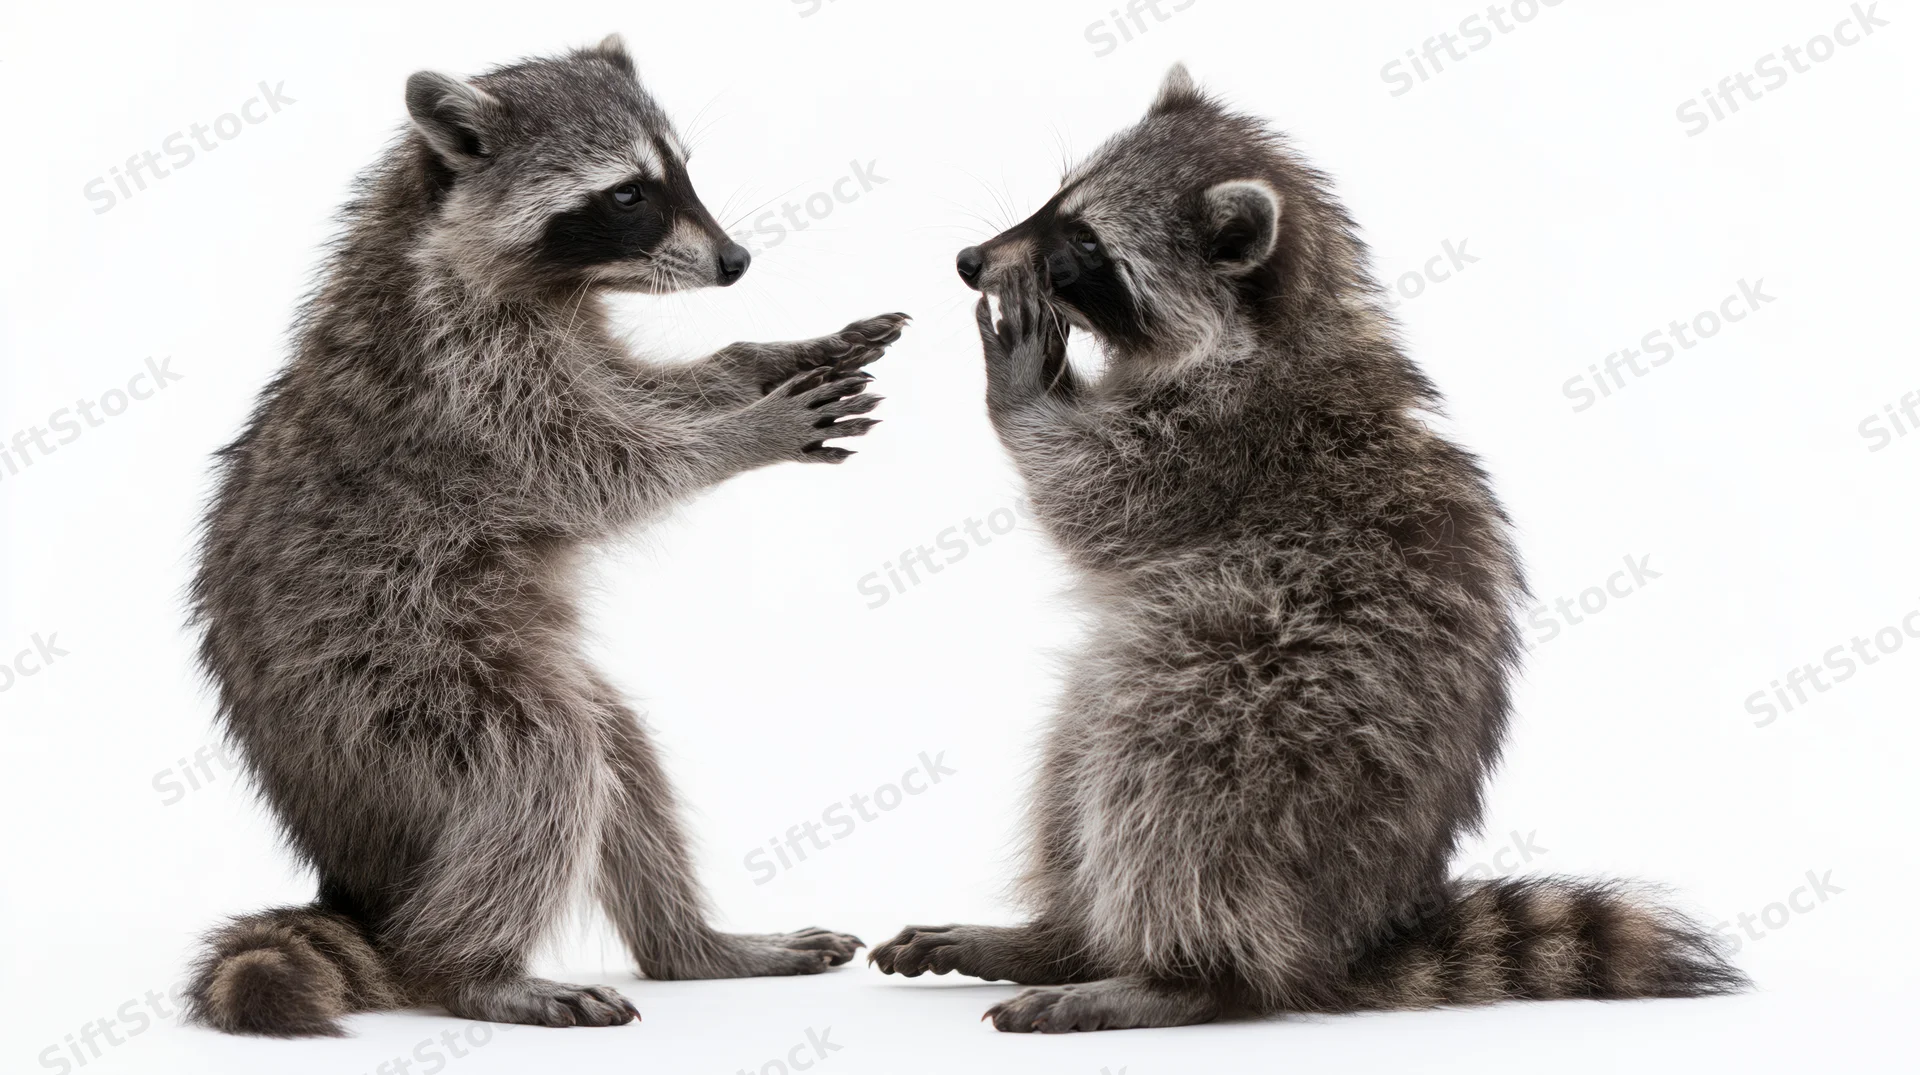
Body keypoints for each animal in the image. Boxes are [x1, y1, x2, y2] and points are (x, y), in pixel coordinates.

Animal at [186, 36, 906, 1036]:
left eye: (681, 170)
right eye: (628, 194)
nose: (736, 262)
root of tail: (349, 860)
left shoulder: (568, 332)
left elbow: (646, 391)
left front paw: (759, 362)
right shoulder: (460, 371)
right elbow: (601, 466)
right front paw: (741, 432)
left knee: (618, 754)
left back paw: (692, 946)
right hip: (385, 684)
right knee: (548, 761)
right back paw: (470, 966)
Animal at [871, 66, 1744, 1031]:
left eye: (1086, 243)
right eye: (1055, 201)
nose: (971, 261)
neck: (1280, 322)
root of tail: (1340, 936)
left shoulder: (1233, 440)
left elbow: (1096, 495)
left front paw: (1024, 392)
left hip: (1263, 718)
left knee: (1163, 784)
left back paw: (1175, 974)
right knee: (1071, 769)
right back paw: (1059, 934)